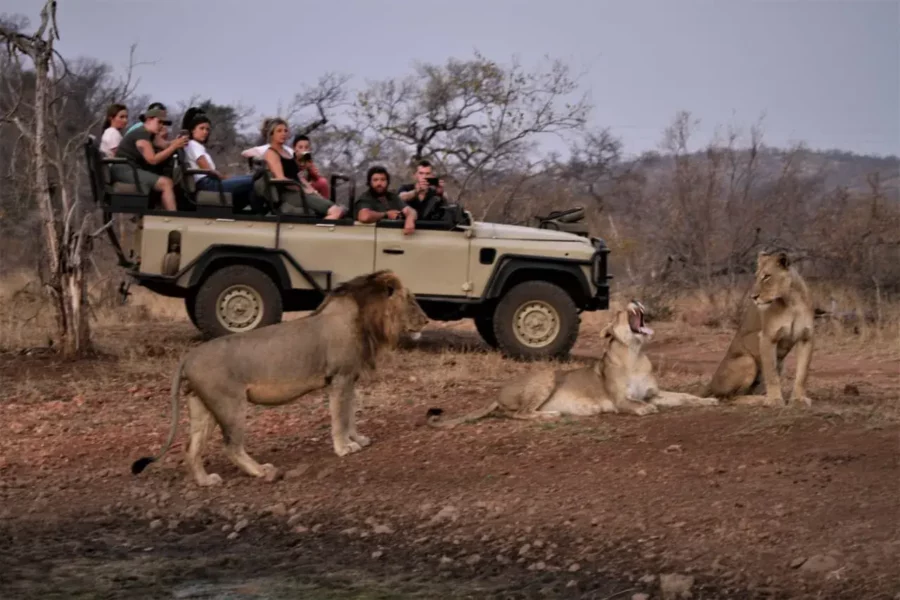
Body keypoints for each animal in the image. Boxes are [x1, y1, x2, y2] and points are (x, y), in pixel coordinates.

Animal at [132, 270, 430, 486]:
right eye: (411, 299)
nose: (427, 321)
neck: (366, 320)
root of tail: (188, 357)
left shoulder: (350, 379)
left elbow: (351, 414)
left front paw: (358, 439)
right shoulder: (340, 377)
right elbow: (340, 418)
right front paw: (344, 447)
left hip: (201, 406)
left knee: (191, 448)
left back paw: (207, 481)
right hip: (230, 403)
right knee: (231, 446)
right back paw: (261, 471)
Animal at [428, 300, 716, 426]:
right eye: (620, 311)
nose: (635, 300)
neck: (635, 353)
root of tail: (498, 393)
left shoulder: (654, 392)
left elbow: (684, 396)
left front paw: (708, 400)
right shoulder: (619, 400)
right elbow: (635, 404)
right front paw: (645, 409)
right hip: (547, 375)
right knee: (519, 413)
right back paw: (551, 414)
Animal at [708, 248, 820, 408]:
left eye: (767, 276)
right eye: (756, 277)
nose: (753, 297)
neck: (792, 302)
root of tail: (710, 385)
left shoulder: (806, 337)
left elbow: (802, 373)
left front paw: (798, 399)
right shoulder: (767, 337)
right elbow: (771, 375)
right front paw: (774, 400)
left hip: (781, 364)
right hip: (747, 361)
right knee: (730, 398)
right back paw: (761, 399)